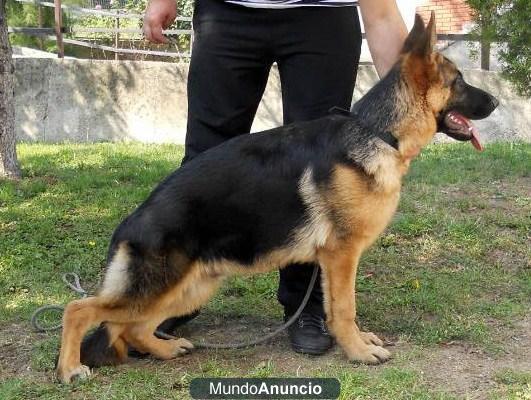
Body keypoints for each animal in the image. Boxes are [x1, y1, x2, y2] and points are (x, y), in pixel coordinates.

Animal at [57, 11, 498, 382]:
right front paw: (357, 351)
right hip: (157, 286)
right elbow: (345, 309)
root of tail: (129, 224)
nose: (496, 101)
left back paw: (164, 349)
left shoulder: (332, 261)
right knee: (81, 311)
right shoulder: (342, 255)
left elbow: (339, 308)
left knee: (129, 327)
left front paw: (358, 342)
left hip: (189, 287)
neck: (378, 132)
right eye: (459, 81)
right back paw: (70, 369)